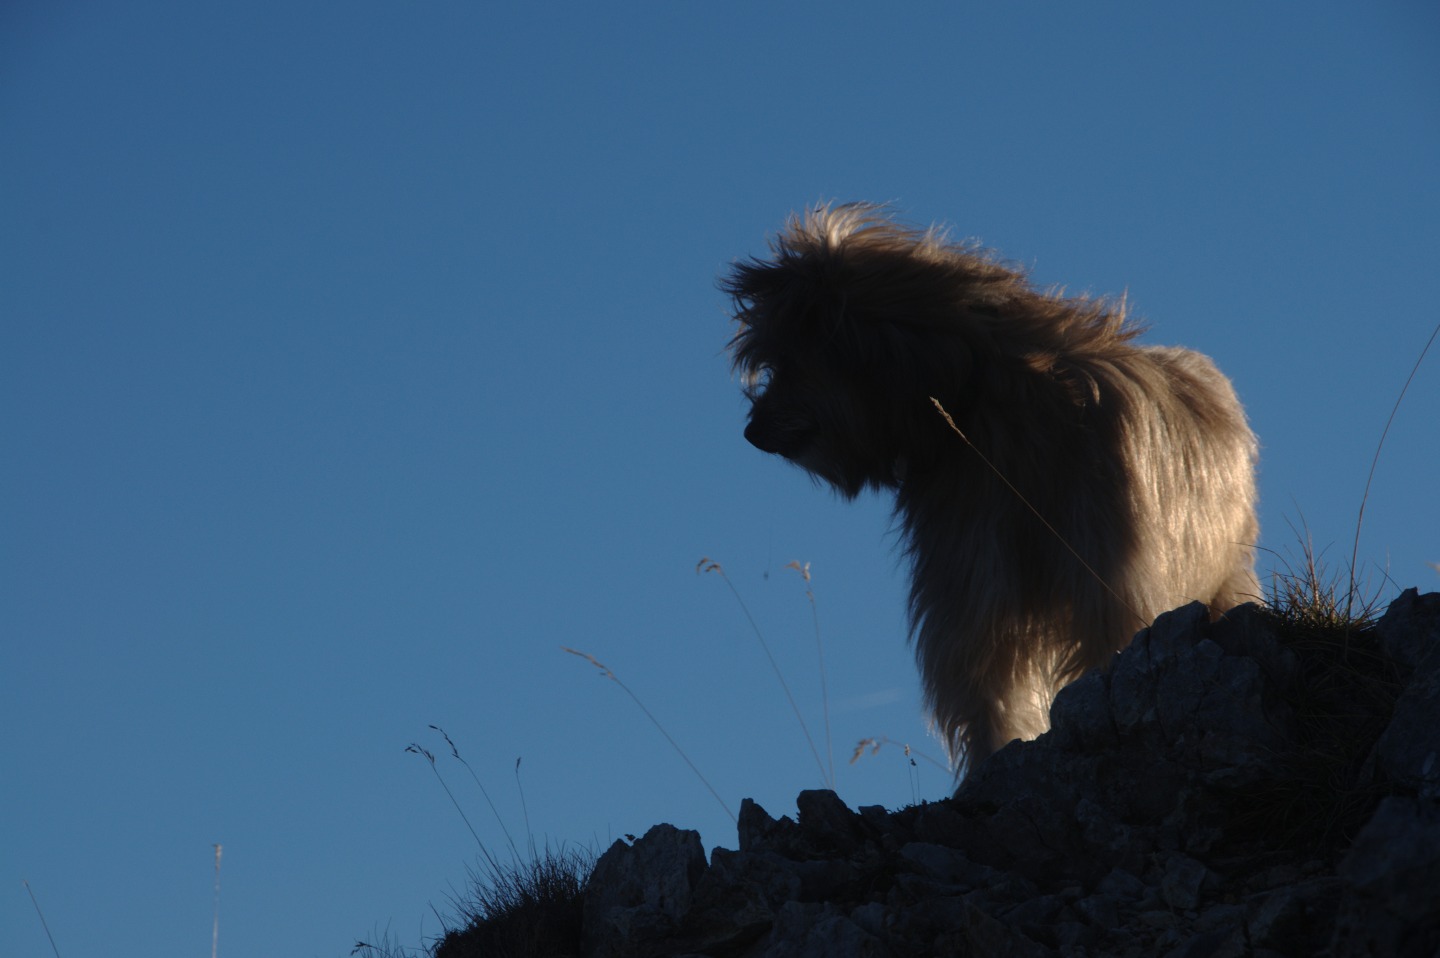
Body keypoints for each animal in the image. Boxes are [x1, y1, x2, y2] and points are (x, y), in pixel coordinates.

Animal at [725, 206, 1255, 772]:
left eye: (788, 360)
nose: (752, 433)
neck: (981, 386)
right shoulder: (972, 562)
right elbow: (985, 676)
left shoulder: (1091, 571)